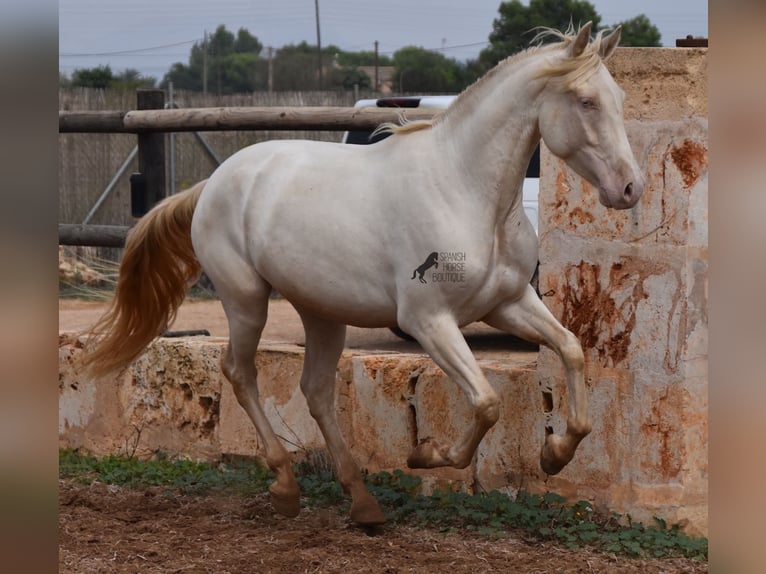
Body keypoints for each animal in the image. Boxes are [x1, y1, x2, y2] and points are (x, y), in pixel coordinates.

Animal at [82, 24, 648, 528]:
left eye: (618, 98)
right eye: (585, 101)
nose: (629, 188)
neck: (463, 189)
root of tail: (215, 182)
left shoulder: (508, 304)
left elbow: (571, 349)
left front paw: (556, 454)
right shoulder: (429, 321)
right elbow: (486, 403)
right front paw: (426, 455)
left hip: (322, 313)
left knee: (315, 391)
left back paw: (362, 502)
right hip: (247, 301)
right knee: (240, 374)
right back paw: (285, 486)